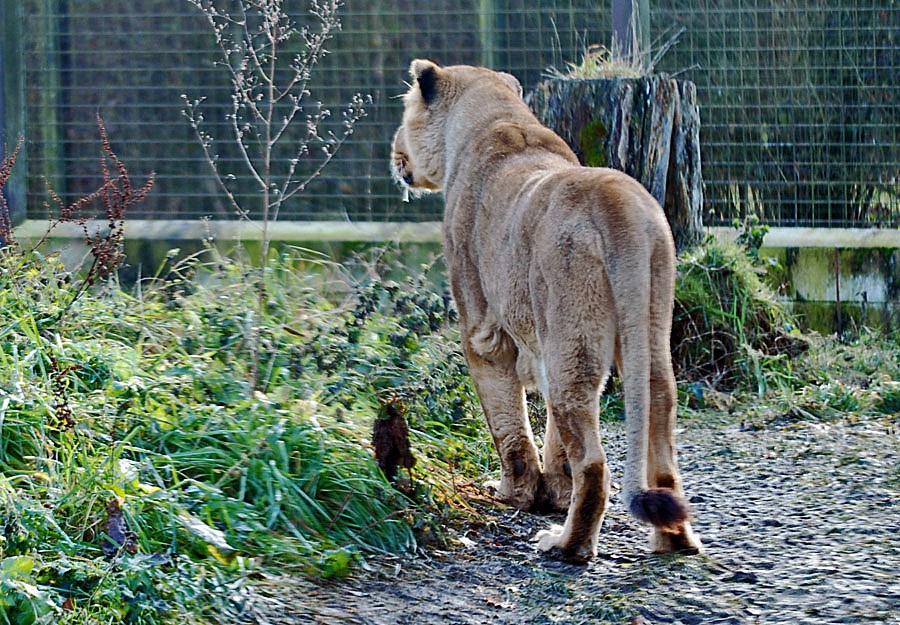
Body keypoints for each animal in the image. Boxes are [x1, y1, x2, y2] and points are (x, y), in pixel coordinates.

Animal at [391, 59, 701, 563]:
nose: (395, 150)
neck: (496, 118)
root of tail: (618, 207)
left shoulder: (482, 327)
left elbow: (507, 422)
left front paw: (515, 494)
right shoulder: (542, 342)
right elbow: (553, 438)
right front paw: (554, 492)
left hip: (573, 338)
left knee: (593, 463)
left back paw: (566, 545)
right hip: (647, 331)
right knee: (658, 417)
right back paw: (673, 539)